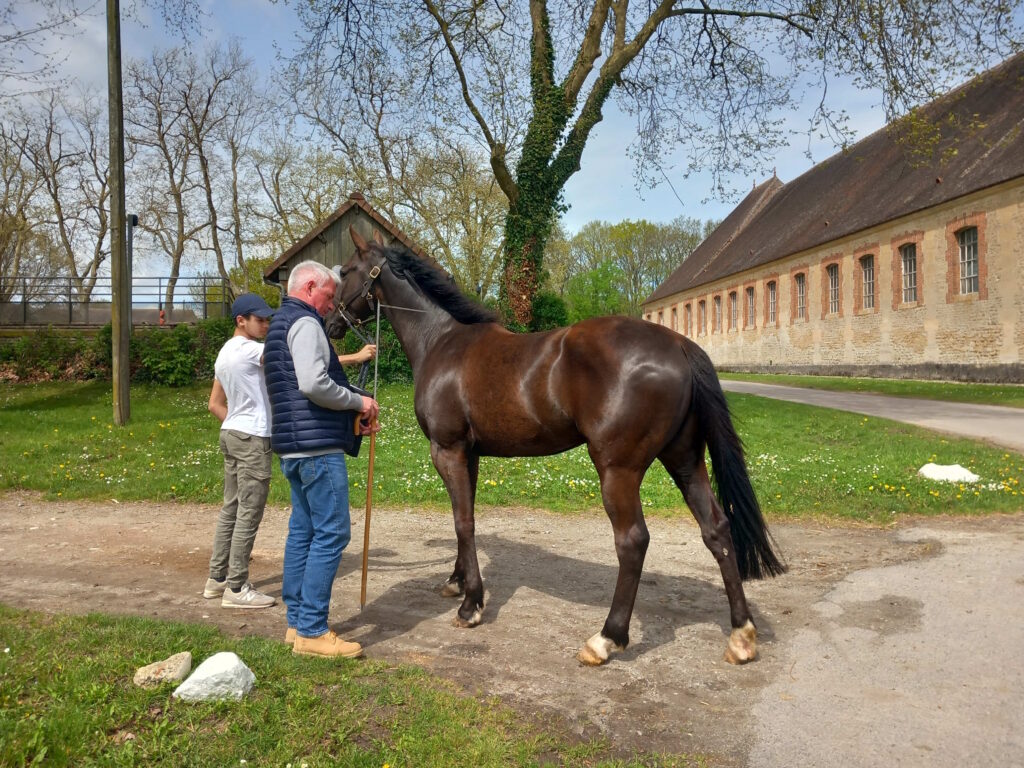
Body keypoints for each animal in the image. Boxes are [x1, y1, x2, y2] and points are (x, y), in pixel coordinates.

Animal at [331, 225, 786, 663]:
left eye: (345, 271)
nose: (334, 324)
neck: (441, 341)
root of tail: (679, 344)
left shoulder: (448, 450)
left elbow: (464, 522)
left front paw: (471, 605)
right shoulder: (469, 455)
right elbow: (465, 517)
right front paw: (457, 582)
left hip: (618, 471)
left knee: (633, 541)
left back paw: (606, 639)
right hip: (685, 460)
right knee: (716, 530)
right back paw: (741, 636)